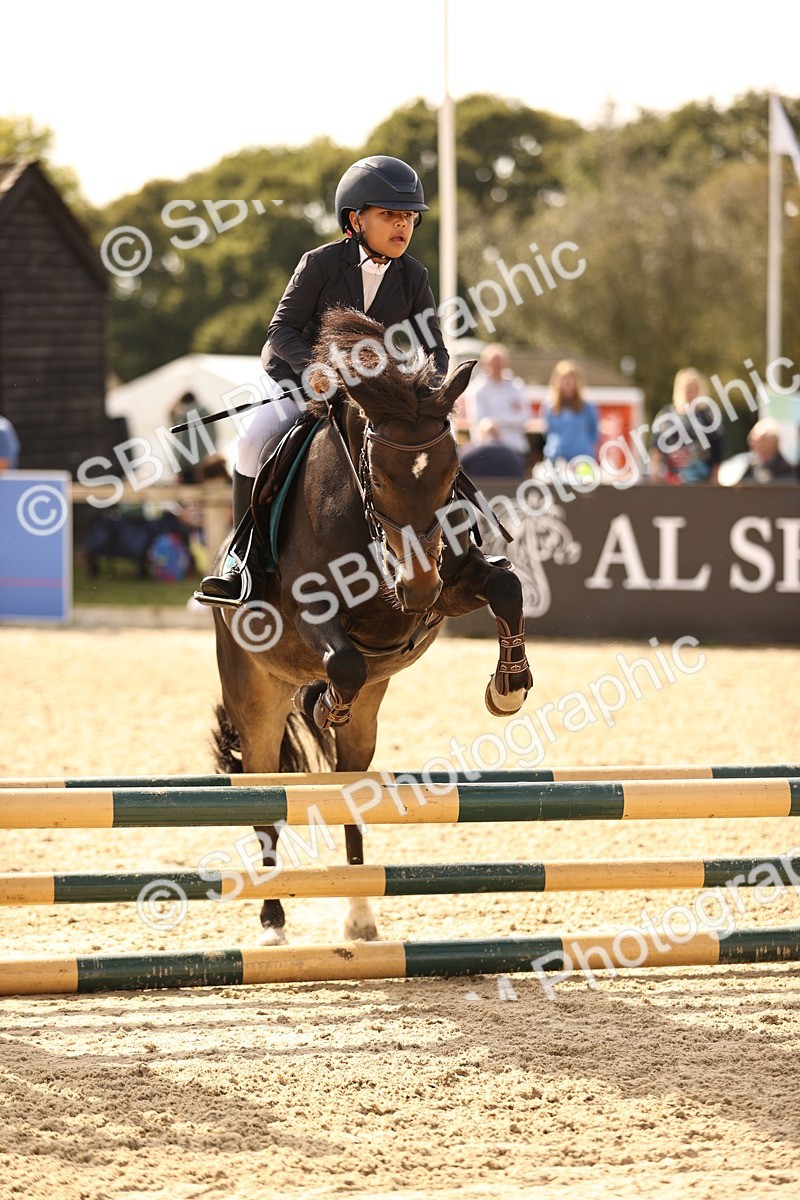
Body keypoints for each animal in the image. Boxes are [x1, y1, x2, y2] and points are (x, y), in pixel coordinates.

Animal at [212, 307, 533, 944]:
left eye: (452, 474)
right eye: (378, 478)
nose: (416, 587)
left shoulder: (451, 584)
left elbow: (505, 589)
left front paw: (509, 686)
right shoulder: (312, 611)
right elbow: (344, 660)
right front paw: (322, 703)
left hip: (364, 727)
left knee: (349, 792)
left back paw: (360, 914)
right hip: (255, 698)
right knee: (265, 799)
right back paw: (272, 919)